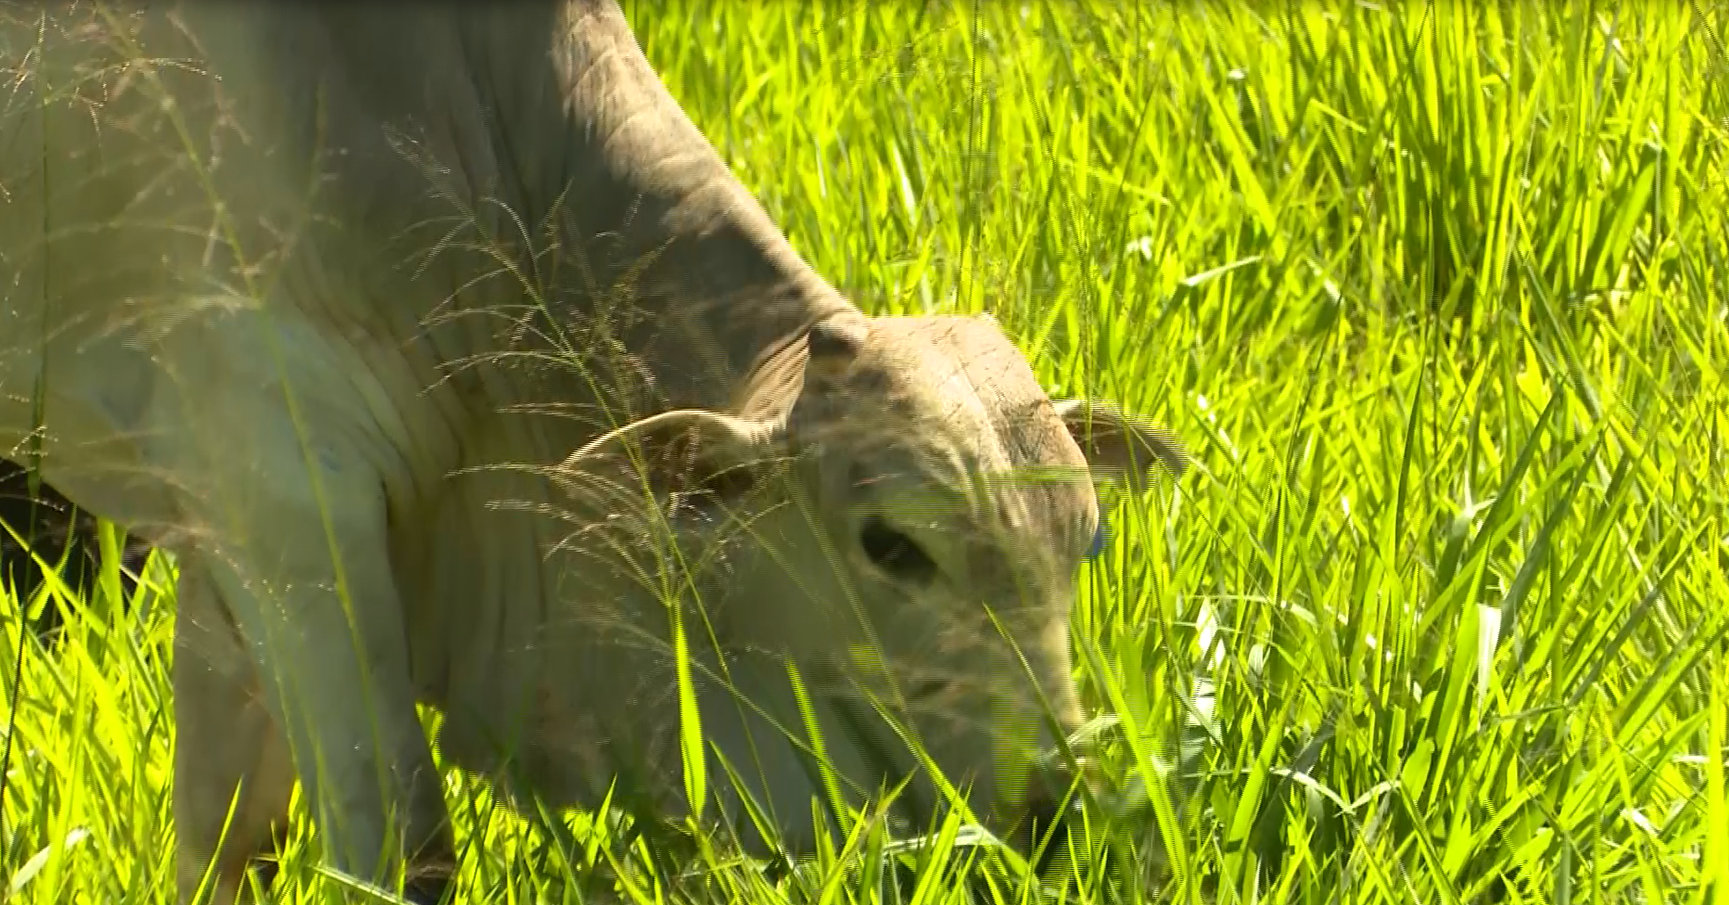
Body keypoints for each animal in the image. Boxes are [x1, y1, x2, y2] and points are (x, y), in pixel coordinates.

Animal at [0, 3, 1182, 899]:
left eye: (1084, 541)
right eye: (891, 544)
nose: (1061, 808)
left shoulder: (224, 537)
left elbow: (225, 837)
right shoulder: (285, 489)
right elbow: (403, 845)